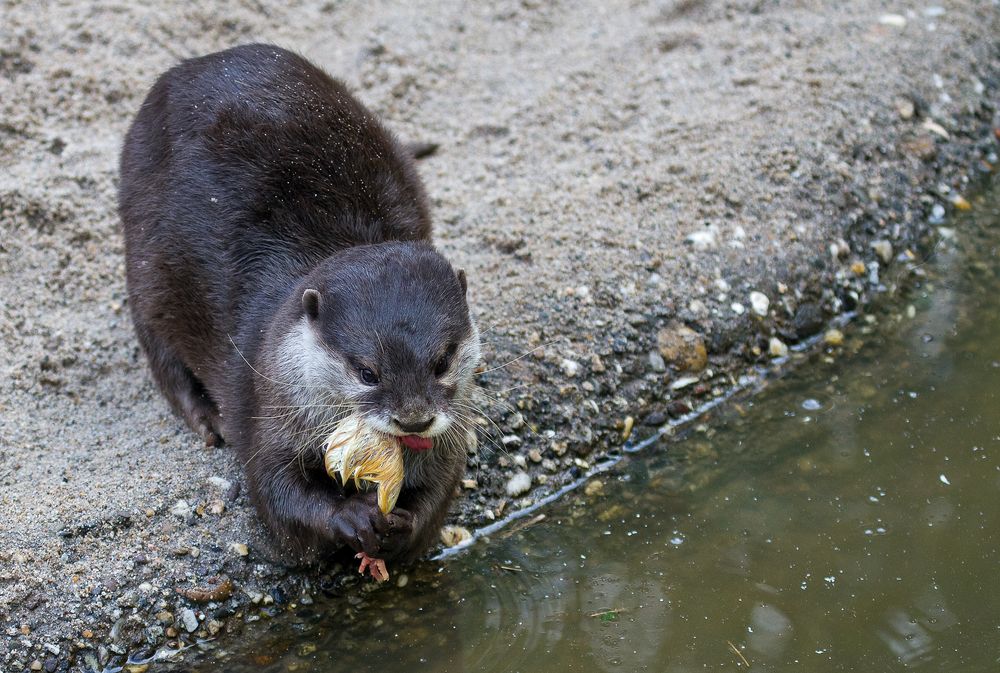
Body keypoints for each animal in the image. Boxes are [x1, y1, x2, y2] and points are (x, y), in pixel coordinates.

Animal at [121, 44, 480, 564]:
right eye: (366, 372)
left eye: (442, 362)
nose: (414, 417)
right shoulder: (269, 405)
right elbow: (274, 492)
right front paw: (348, 516)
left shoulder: (451, 439)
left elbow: (440, 491)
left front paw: (404, 524)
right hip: (145, 263)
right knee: (161, 353)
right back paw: (207, 418)